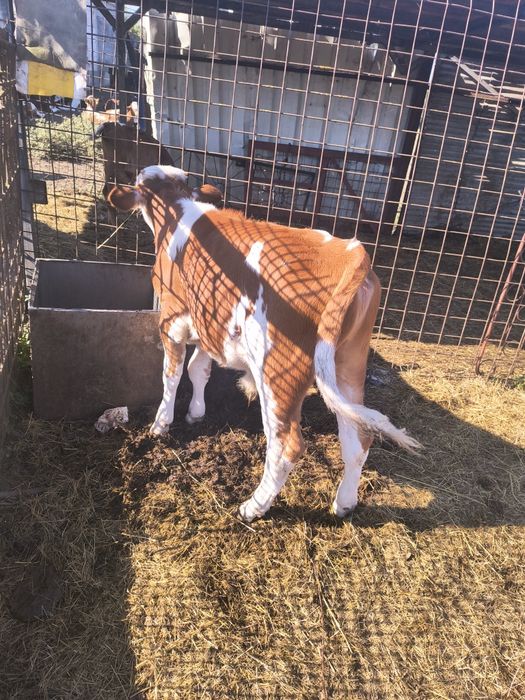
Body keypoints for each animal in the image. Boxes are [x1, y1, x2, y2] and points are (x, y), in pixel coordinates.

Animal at [107, 166, 420, 522]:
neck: (177, 209)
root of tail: (352, 255)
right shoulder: (209, 324)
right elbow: (199, 368)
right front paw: (196, 413)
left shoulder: (172, 319)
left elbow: (172, 375)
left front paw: (161, 423)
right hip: (348, 366)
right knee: (358, 438)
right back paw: (344, 503)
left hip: (278, 373)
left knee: (287, 446)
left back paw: (254, 506)